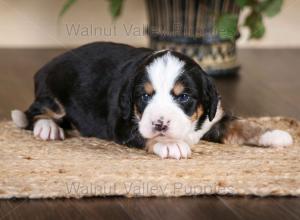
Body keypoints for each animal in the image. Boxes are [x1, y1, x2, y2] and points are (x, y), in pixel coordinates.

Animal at [11, 42, 292, 159]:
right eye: (145, 96)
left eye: (184, 96)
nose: (160, 124)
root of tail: (46, 66)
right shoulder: (123, 124)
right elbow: (145, 135)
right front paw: (169, 144)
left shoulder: (214, 119)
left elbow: (243, 124)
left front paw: (275, 134)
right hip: (52, 94)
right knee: (33, 112)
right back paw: (47, 128)